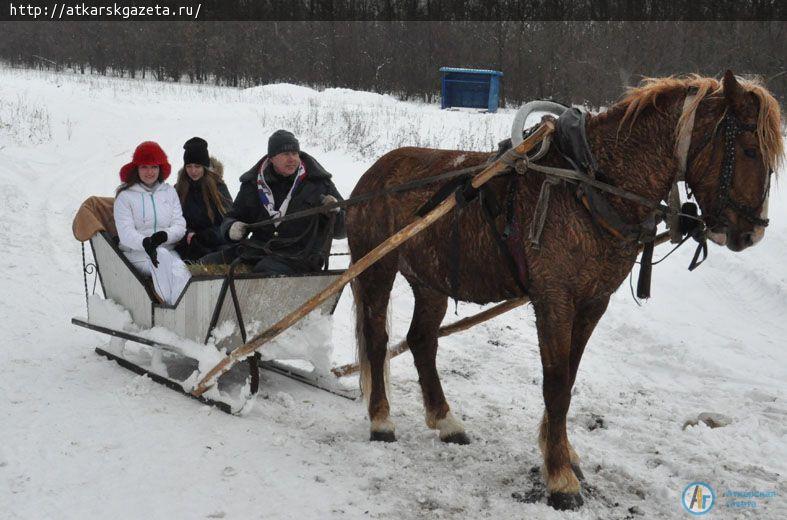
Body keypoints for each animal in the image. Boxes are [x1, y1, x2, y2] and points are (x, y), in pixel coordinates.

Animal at [344, 71, 780, 510]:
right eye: (748, 150)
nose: (752, 233)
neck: (590, 188)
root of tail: (376, 173)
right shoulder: (555, 300)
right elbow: (555, 385)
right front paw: (560, 477)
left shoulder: (593, 302)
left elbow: (569, 379)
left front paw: (565, 454)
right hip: (378, 268)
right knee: (379, 339)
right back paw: (381, 420)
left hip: (431, 279)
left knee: (422, 340)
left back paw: (445, 420)